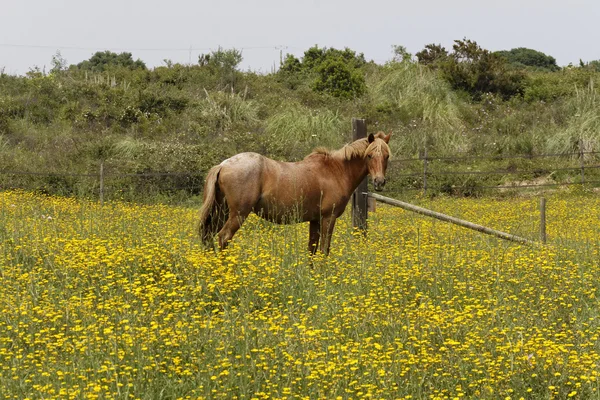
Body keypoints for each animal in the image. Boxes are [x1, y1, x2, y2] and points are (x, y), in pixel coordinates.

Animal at [199, 133, 392, 255]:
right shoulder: (328, 218)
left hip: (222, 212)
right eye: (369, 155)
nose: (379, 182)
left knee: (208, 235)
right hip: (237, 214)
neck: (335, 170)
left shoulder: (315, 220)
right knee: (224, 237)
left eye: (386, 156)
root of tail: (223, 165)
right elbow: (324, 249)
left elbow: (312, 249)